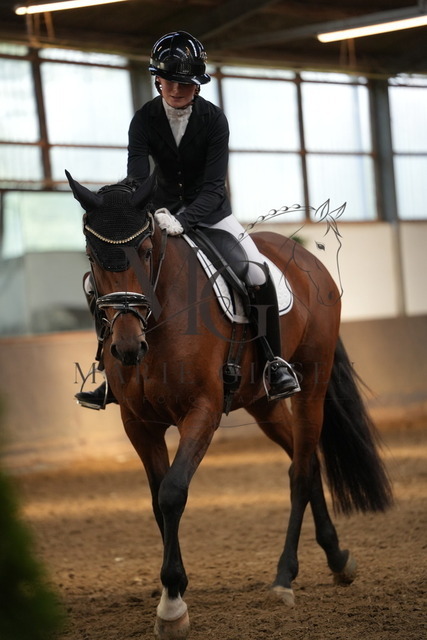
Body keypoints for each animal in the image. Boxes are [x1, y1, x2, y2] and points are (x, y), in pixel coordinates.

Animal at [66, 171, 393, 640]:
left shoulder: (201, 412)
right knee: (305, 460)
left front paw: (172, 604)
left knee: (300, 471)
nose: (127, 348)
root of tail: (303, 256)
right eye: (93, 255)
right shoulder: (138, 424)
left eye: (145, 251)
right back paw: (336, 558)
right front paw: (175, 592)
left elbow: (172, 493)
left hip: (311, 387)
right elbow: (156, 501)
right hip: (262, 405)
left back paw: (284, 577)